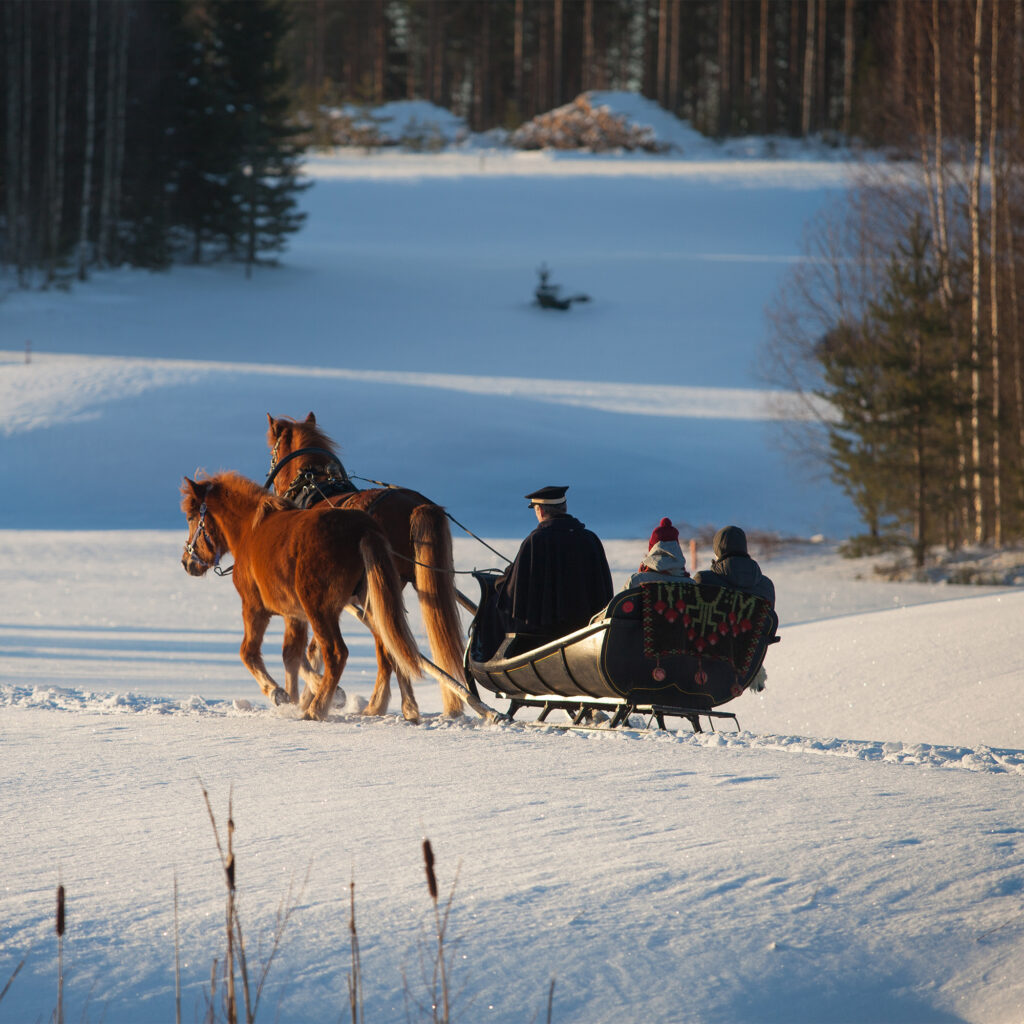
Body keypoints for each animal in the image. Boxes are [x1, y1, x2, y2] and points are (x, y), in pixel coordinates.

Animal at [180, 472, 425, 722]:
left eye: (190, 517)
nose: (187, 562)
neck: (250, 530)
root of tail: (363, 529)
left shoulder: (254, 608)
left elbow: (249, 652)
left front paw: (279, 693)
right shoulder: (295, 615)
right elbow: (292, 655)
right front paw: (299, 696)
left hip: (319, 609)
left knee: (337, 653)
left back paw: (316, 709)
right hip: (371, 606)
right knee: (393, 645)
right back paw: (408, 707)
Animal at [264, 412, 467, 718]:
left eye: (272, 452)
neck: (313, 487)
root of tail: (414, 504)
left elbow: (304, 651)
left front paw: (309, 697)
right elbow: (313, 649)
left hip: (376, 591)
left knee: (389, 648)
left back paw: (382, 705)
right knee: (400, 644)